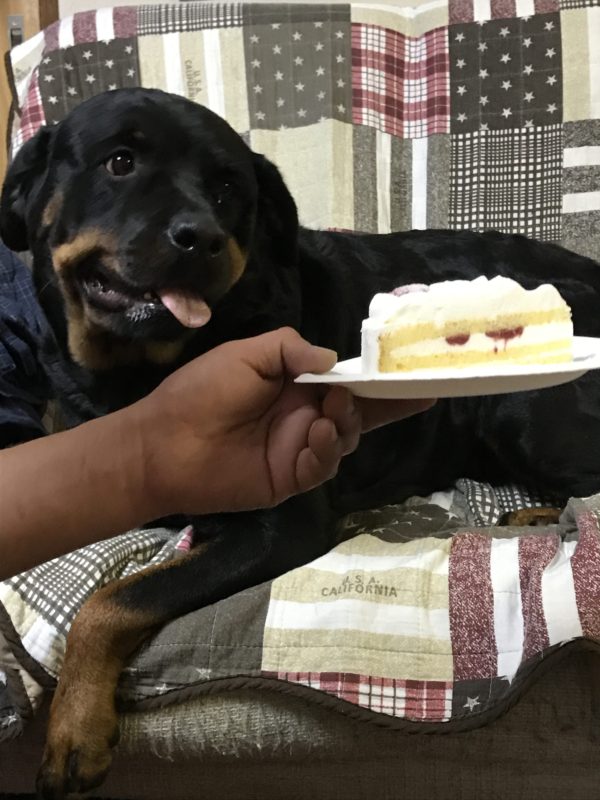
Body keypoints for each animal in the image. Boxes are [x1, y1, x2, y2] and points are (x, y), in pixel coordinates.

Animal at [2, 87, 600, 798]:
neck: (143, 372)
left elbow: (112, 600)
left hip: (524, 409)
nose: (201, 237)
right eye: (119, 161)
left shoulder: (280, 525)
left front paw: (75, 726)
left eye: (229, 189)